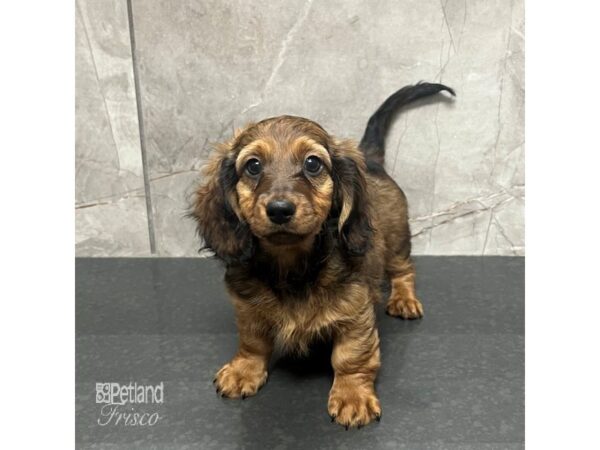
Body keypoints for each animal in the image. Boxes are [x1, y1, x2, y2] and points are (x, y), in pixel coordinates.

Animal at [192, 82, 454, 430]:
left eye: (313, 163)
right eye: (253, 166)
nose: (279, 210)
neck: (292, 267)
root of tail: (371, 160)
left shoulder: (356, 314)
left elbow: (350, 357)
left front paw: (352, 397)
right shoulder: (248, 308)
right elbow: (252, 342)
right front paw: (243, 370)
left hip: (398, 239)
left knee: (403, 270)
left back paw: (404, 299)